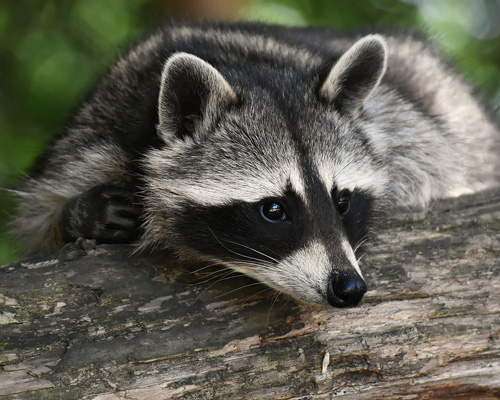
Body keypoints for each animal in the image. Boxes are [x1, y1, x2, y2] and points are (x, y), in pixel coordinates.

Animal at [9, 20, 498, 308]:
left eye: (342, 201)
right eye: (274, 210)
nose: (349, 289)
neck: (244, 67)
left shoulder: (406, 127)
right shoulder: (95, 130)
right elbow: (38, 214)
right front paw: (80, 212)